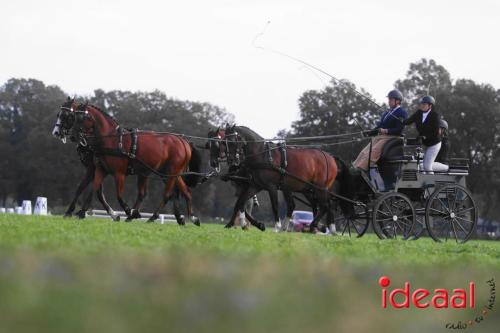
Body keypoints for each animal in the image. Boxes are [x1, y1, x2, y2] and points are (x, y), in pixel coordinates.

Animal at [63, 100, 202, 223]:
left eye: (81, 118)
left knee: (167, 194)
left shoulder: (119, 173)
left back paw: (152, 217)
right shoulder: (101, 170)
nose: (72, 136)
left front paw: (128, 211)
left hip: (170, 173)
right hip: (171, 174)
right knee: (185, 192)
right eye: (73, 117)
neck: (112, 140)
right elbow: (96, 190)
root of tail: (183, 141)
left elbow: (118, 195)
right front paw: (82, 212)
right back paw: (191, 218)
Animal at [221, 124, 354, 231]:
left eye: (232, 141)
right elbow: (240, 202)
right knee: (319, 206)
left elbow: (274, 205)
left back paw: (315, 226)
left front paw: (276, 226)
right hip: (308, 188)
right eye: (223, 142)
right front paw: (248, 224)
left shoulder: (271, 187)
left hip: (319, 188)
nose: (232, 162)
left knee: (325, 206)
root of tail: (330, 157)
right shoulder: (256, 186)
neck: (263, 155)